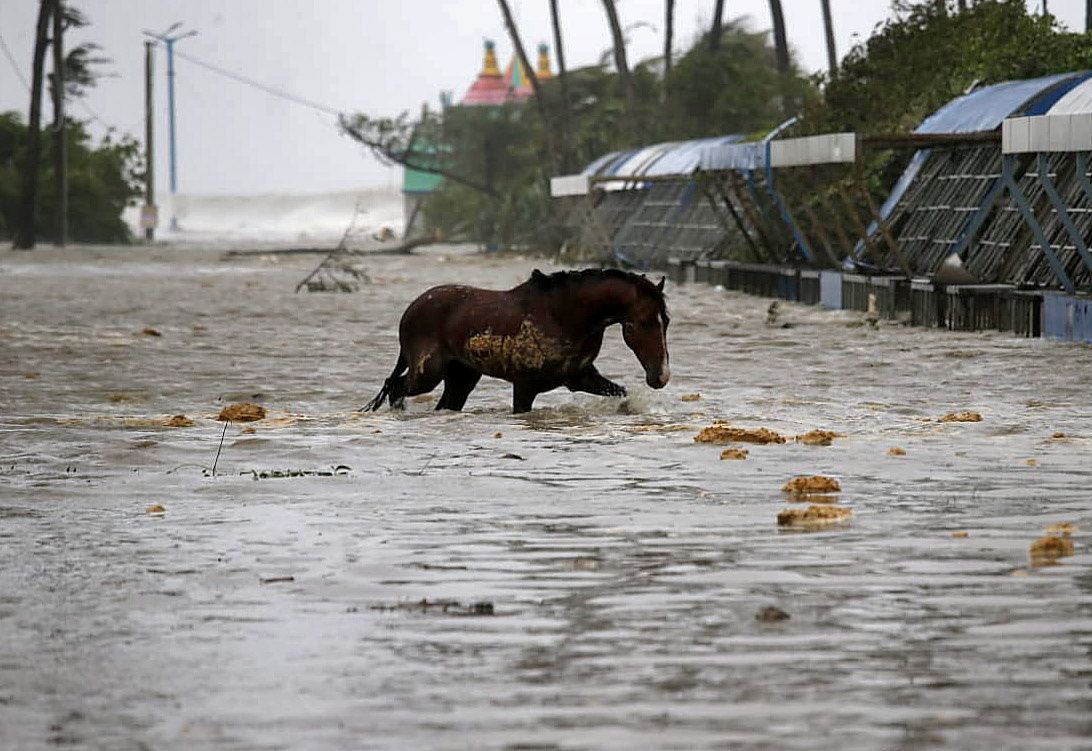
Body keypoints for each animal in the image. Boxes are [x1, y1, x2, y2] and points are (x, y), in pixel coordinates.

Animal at [362, 268, 668, 412]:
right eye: (643, 323)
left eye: (666, 321)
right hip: (427, 374)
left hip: (462, 377)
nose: (660, 377)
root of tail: (410, 310)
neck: (562, 315)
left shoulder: (580, 378)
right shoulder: (524, 387)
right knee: (395, 387)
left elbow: (621, 393)